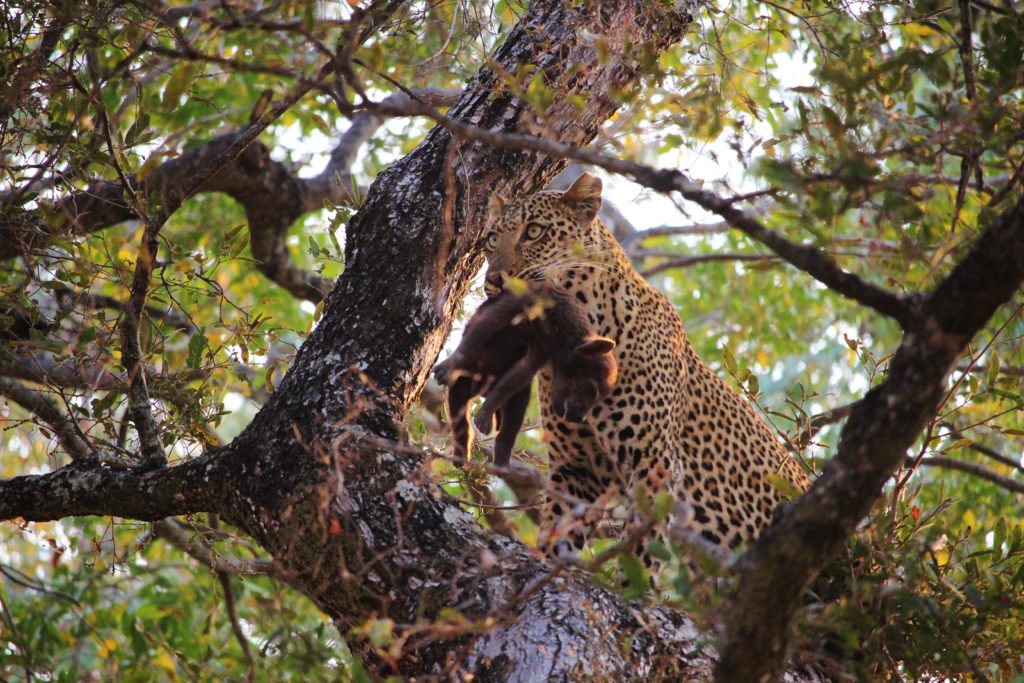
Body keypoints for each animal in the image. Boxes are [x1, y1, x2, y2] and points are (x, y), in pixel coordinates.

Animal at [479, 172, 810, 554]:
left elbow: (641, 548)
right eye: (490, 239)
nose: (493, 280)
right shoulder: (576, 468)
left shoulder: (654, 463)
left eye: (533, 231)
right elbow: (559, 533)